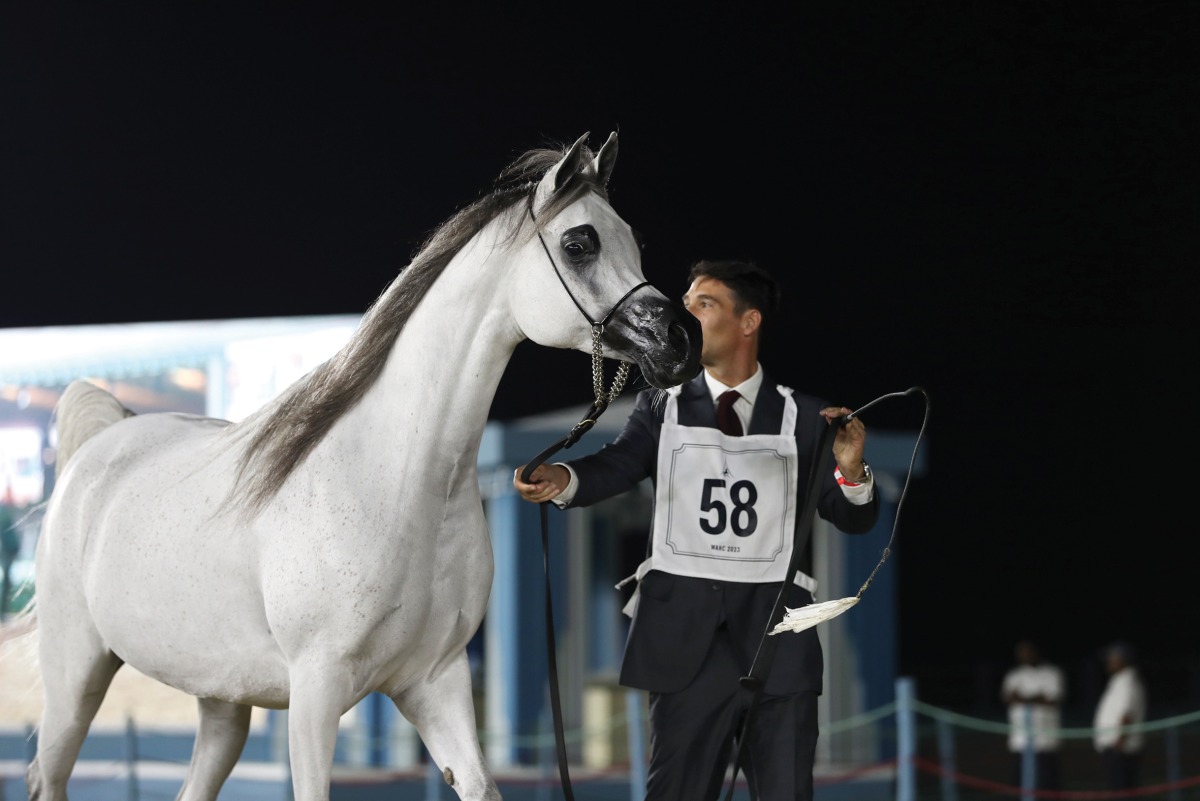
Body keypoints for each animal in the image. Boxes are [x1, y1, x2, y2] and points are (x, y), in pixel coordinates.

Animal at [26, 131, 702, 801]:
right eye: (578, 243)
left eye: (634, 241)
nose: (681, 340)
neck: (397, 482)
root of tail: (103, 440)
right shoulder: (316, 693)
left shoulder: (436, 682)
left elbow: (481, 786)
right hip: (75, 677)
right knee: (49, 774)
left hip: (220, 698)